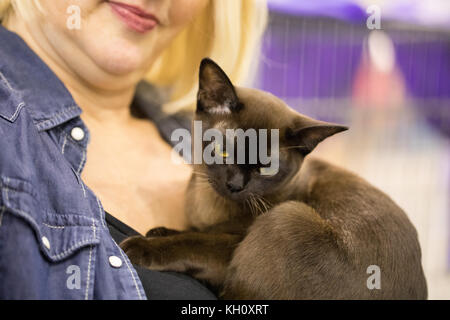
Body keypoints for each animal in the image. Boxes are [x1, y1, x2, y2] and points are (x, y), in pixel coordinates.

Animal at [120, 58, 428, 300]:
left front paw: (140, 245)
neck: (208, 205)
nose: (235, 185)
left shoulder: (231, 247)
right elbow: (194, 231)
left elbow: (195, 241)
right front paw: (160, 230)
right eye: (222, 150)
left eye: (266, 167)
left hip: (288, 216)